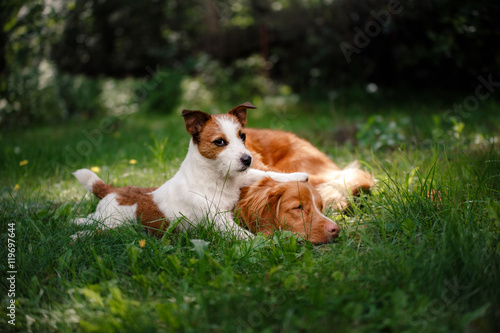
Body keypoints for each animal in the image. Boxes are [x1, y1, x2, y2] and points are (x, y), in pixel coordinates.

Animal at [70, 102, 304, 240]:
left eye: (243, 136)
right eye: (220, 142)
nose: (247, 159)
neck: (217, 178)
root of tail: (113, 190)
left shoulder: (241, 177)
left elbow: (265, 174)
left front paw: (299, 176)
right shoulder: (217, 219)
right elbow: (242, 235)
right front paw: (263, 247)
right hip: (112, 221)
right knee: (94, 224)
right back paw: (76, 234)